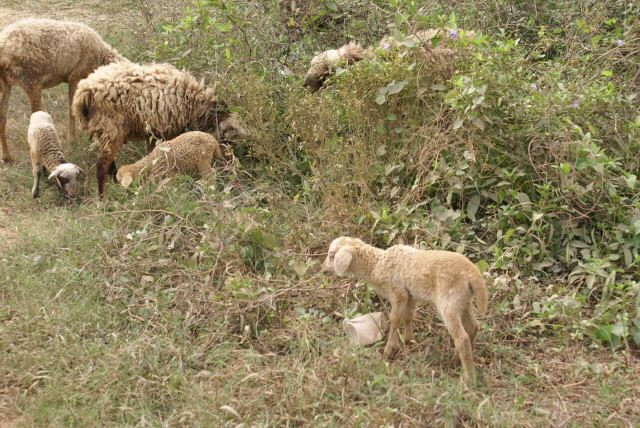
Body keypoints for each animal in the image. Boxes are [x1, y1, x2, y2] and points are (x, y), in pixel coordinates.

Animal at [72, 61, 242, 197]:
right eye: (229, 137)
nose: (230, 162)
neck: (195, 103)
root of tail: (84, 93)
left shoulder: (152, 131)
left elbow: (152, 153)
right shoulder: (164, 129)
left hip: (102, 131)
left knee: (109, 163)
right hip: (111, 128)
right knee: (101, 166)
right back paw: (103, 200)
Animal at [322, 236, 488, 386]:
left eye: (332, 256)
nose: (323, 270)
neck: (377, 265)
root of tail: (472, 274)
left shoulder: (398, 293)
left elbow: (395, 319)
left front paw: (388, 351)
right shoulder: (410, 295)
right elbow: (408, 316)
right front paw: (409, 340)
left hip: (449, 303)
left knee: (462, 338)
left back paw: (469, 379)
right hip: (463, 301)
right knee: (473, 327)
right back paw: (455, 361)